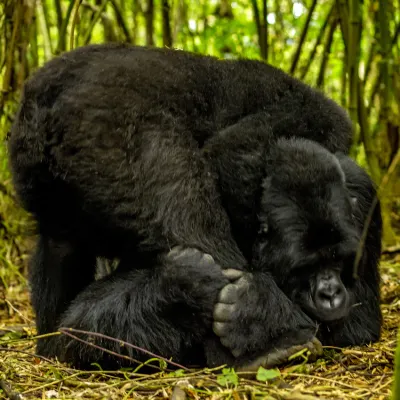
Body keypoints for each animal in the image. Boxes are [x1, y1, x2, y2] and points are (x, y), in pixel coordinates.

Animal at [7, 42, 382, 370]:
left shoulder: (361, 196)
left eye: (339, 260)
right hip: (111, 124)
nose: (332, 294)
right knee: (191, 216)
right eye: (305, 267)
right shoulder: (304, 119)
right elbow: (230, 152)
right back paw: (269, 338)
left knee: (59, 247)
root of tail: (45, 94)